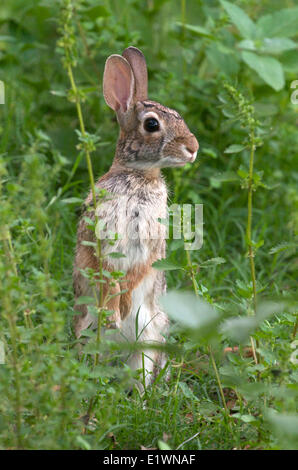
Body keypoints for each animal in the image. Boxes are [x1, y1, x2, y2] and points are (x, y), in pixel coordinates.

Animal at [72, 46, 199, 388]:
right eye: (152, 125)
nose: (193, 147)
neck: (138, 175)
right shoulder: (96, 237)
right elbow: (102, 269)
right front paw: (114, 309)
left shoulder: (152, 243)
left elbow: (140, 270)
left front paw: (125, 303)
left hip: (148, 343)